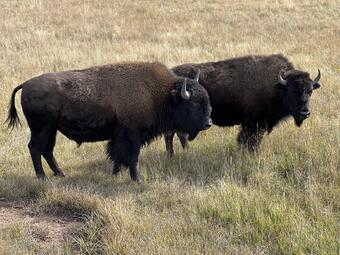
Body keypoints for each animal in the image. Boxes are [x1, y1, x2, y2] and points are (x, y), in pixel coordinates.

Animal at [6, 62, 211, 181]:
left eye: (206, 100)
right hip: (41, 128)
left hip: (52, 129)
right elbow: (132, 156)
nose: (208, 123)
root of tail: (25, 84)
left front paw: (116, 174)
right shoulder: (133, 135)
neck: (160, 94)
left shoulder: (119, 136)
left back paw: (61, 174)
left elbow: (117, 155)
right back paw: (42, 177)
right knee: (35, 148)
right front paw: (136, 179)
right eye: (194, 103)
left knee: (47, 150)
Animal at [165, 54, 322, 155]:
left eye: (310, 91)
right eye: (293, 91)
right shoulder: (253, 124)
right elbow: (249, 140)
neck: (277, 87)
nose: (304, 113)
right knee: (173, 134)